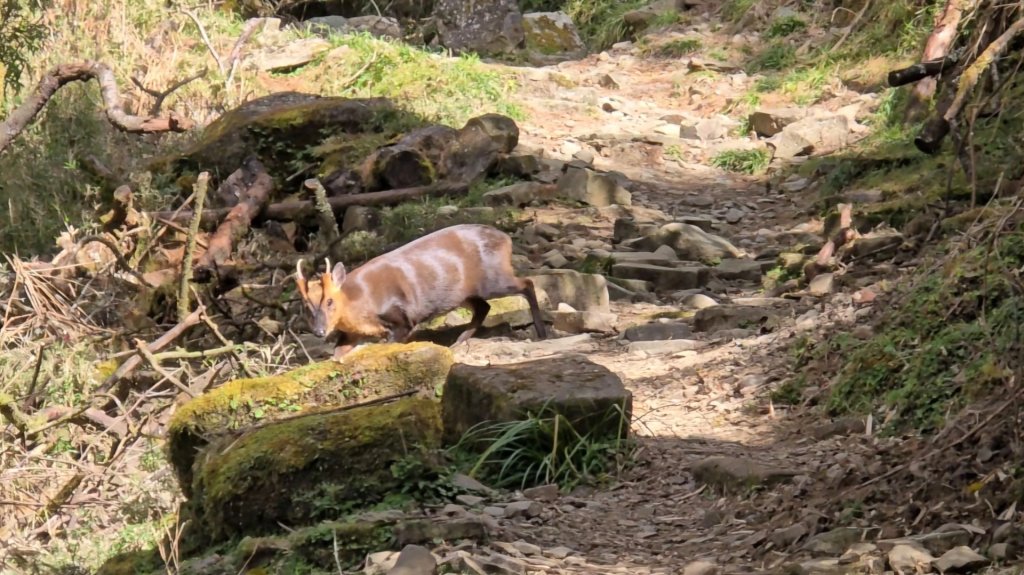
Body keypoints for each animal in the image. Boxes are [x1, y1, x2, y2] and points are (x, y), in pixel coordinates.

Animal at [295, 224, 548, 358]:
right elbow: (337, 354)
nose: (319, 331)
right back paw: (458, 341)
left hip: (493, 279)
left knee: (527, 283)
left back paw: (542, 332)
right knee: (483, 308)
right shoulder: (352, 333)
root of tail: (506, 238)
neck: (359, 301)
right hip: (465, 294)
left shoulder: (402, 319)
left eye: (330, 301)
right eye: (306, 307)